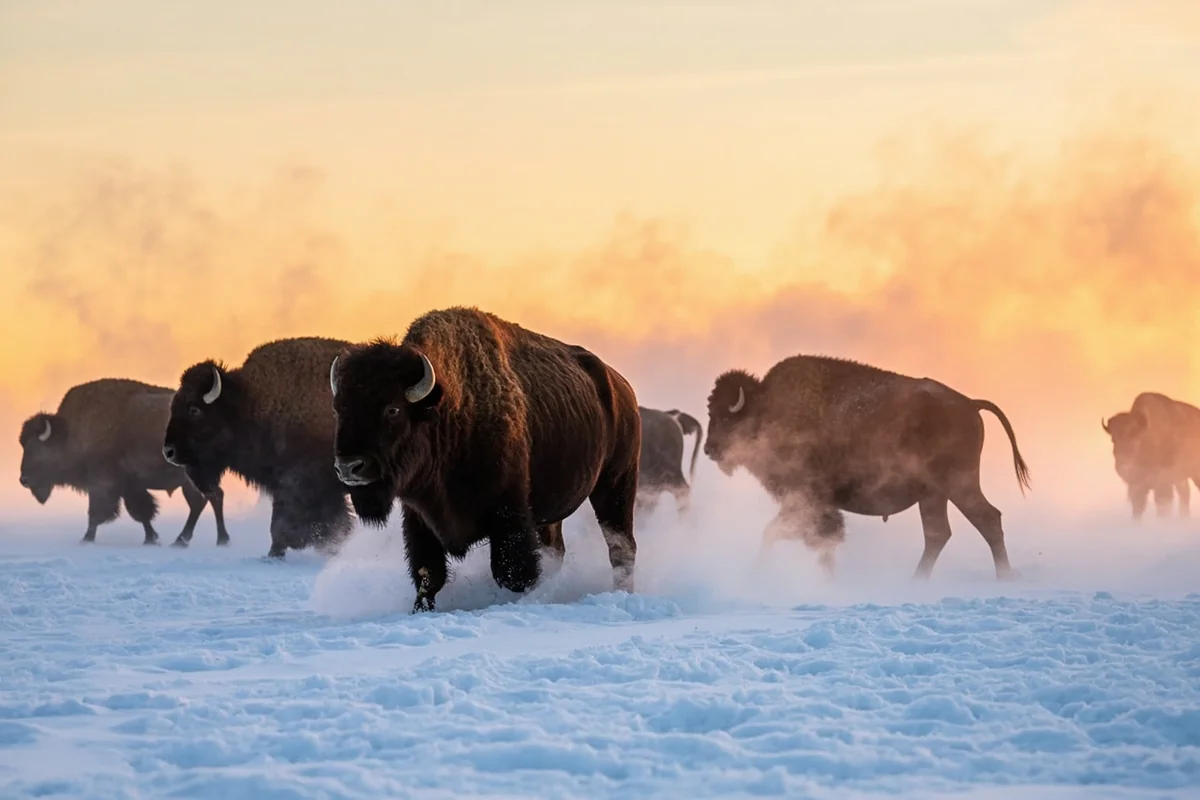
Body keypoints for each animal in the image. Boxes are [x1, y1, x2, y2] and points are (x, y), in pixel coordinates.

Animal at [18, 378, 228, 546]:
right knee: (206, 500)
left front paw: (86, 539)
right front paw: (150, 539)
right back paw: (192, 540)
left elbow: (96, 513)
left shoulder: (102, 485)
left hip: (190, 478)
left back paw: (210, 540)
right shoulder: (130, 486)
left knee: (208, 499)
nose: (24, 480)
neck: (70, 433)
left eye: (36, 450)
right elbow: (141, 512)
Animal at [329, 306, 642, 612]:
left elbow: (512, 572)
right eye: (339, 408)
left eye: (392, 409)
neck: (448, 407)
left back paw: (621, 591)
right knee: (558, 549)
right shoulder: (419, 516)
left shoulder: (508, 511)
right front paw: (420, 609)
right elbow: (428, 573)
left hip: (616, 482)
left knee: (621, 546)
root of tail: (622, 388)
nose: (349, 467)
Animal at [703, 354, 1030, 580]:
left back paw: (1002, 578)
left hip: (958, 485)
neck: (765, 408)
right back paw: (915, 583)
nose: (709, 449)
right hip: (933, 495)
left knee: (987, 520)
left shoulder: (806, 496)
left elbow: (781, 533)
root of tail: (971, 404)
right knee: (939, 533)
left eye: (725, 416)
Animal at [1102, 391, 1200, 520]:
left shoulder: (1163, 484)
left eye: (1136, 439)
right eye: (1113, 439)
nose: (1124, 468)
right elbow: (1138, 508)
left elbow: (1162, 507)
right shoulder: (1138, 486)